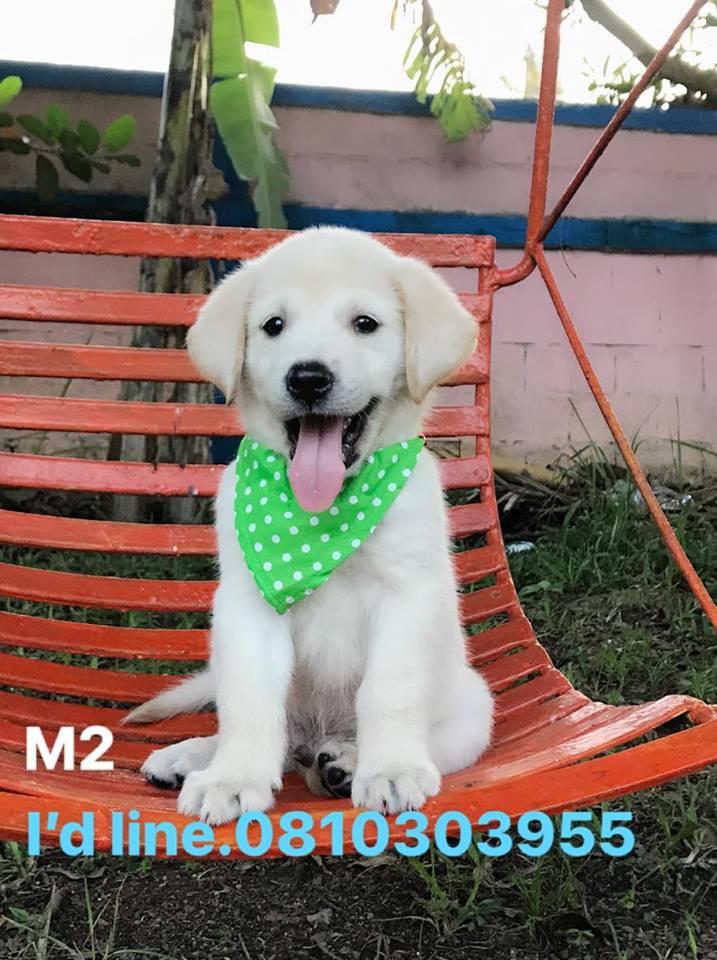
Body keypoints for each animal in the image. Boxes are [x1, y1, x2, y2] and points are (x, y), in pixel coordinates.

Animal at [127, 227, 494, 825]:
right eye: (274, 325)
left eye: (365, 323)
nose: (308, 377)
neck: (321, 516)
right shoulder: (248, 603)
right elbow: (250, 699)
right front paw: (233, 777)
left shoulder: (407, 595)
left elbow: (388, 690)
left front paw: (390, 769)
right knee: (265, 730)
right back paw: (195, 757)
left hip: (473, 706)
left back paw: (345, 760)